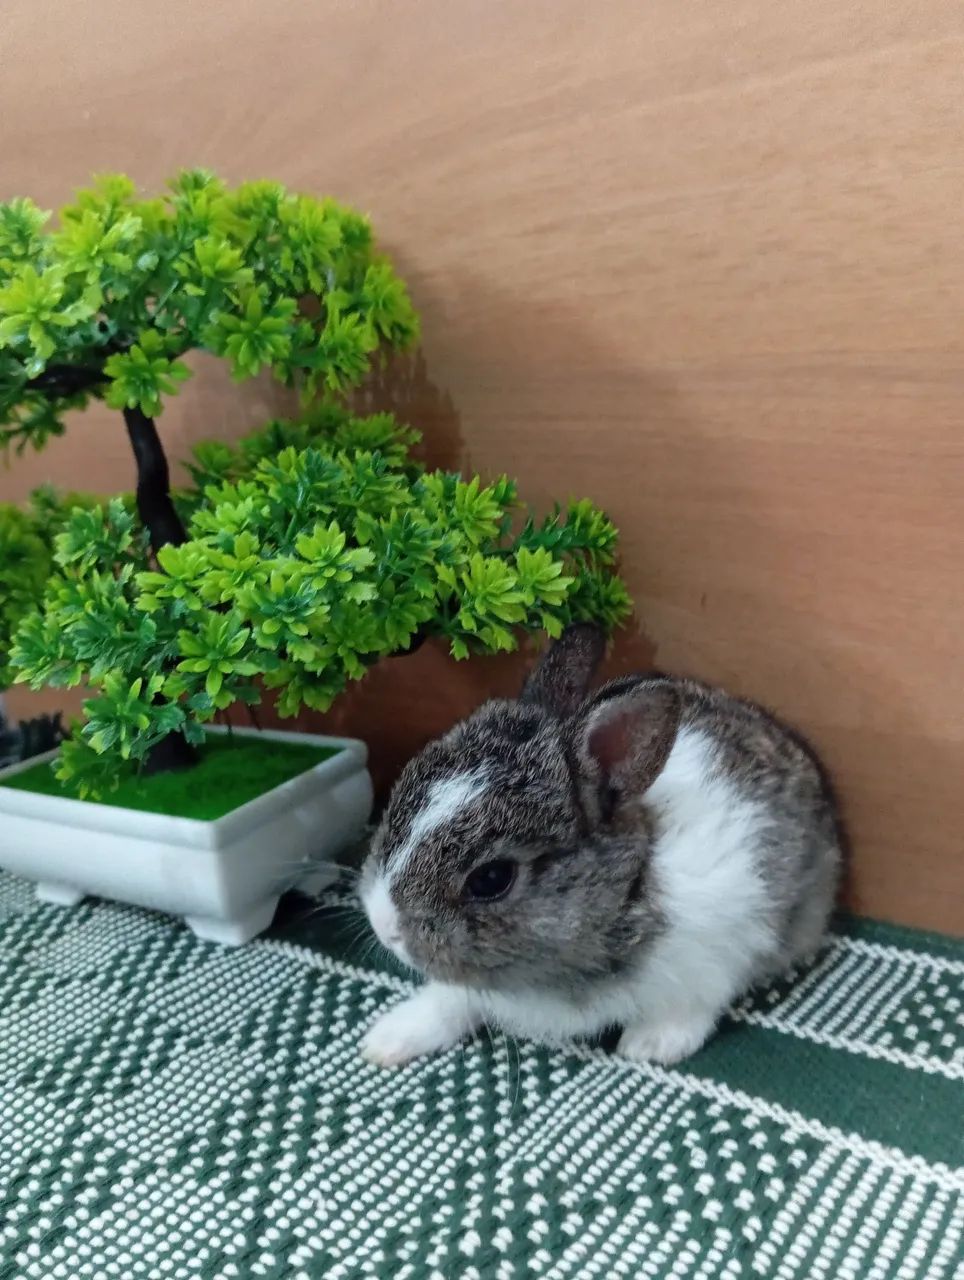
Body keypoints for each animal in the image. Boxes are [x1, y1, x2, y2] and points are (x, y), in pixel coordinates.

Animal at [359, 623, 844, 1068]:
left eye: (492, 878)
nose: (384, 926)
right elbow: (449, 1002)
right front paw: (387, 1040)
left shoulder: (718, 952)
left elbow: (691, 1007)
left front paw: (651, 1045)